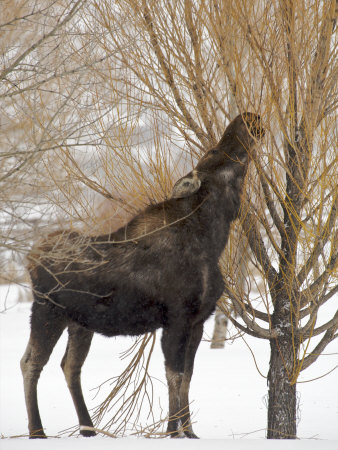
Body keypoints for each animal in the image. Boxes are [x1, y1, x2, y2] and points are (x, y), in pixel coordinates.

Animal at [21, 112, 266, 440]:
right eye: (215, 151)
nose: (248, 117)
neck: (214, 237)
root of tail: (30, 257)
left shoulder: (199, 320)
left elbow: (187, 377)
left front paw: (189, 432)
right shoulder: (177, 317)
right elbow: (175, 375)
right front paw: (173, 431)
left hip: (79, 323)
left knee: (69, 366)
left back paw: (88, 428)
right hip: (47, 311)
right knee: (31, 363)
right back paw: (37, 431)